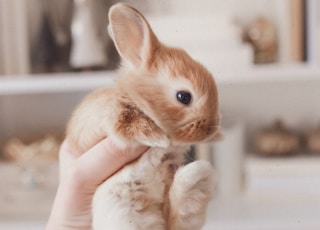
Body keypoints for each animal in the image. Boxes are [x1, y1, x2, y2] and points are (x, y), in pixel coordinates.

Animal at [66, 2, 221, 230]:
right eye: (184, 96)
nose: (211, 130)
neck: (137, 98)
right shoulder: (103, 120)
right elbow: (127, 122)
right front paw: (158, 138)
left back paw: (197, 177)